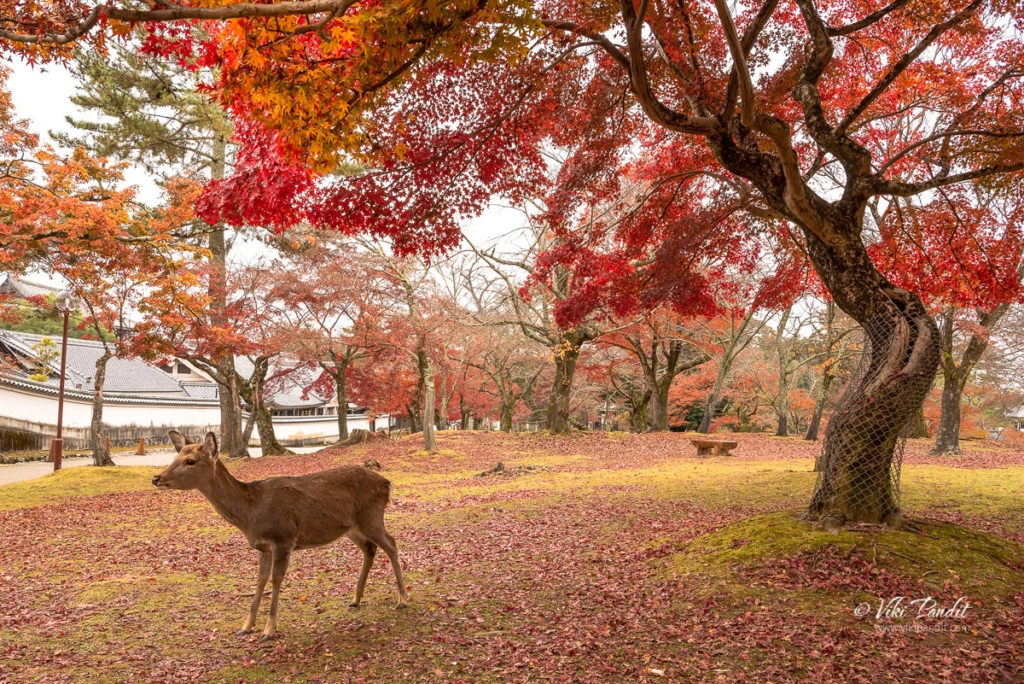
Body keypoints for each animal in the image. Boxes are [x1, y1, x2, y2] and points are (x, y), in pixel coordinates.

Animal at [152, 430, 409, 639]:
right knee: (370, 548)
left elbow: (276, 580)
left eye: (190, 461)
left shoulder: (284, 539)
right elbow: (260, 579)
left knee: (392, 544)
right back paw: (355, 599)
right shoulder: (263, 546)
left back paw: (403, 599)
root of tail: (387, 483)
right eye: (175, 457)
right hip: (352, 527)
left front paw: (269, 630)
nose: (157, 478)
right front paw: (246, 627)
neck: (252, 513)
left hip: (371, 516)